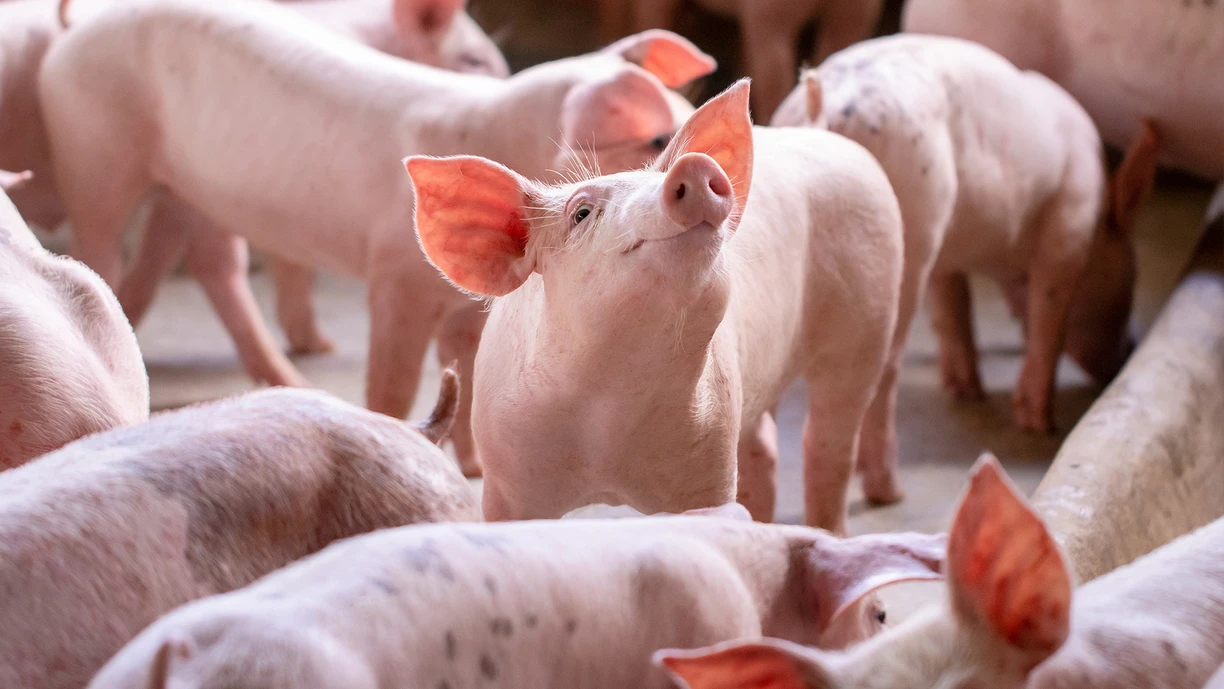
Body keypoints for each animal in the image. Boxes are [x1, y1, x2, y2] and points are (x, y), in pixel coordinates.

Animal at [39, 0, 714, 477]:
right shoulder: (397, 276)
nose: (707, 169)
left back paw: (294, 374)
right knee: (103, 242)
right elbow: (394, 376)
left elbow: (469, 368)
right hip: (91, 146)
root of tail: (79, 27)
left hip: (190, 189)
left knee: (211, 263)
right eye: (656, 137)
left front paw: (474, 468)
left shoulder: (469, 302)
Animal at [408, 81, 903, 531]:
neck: (607, 416)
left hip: (869, 317)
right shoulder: (506, 480)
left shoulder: (711, 456)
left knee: (829, 445)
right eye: (581, 214)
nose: (694, 165)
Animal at [770, 36, 1159, 503]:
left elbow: (954, 307)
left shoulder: (948, 256)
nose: (1130, 348)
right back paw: (890, 491)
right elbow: (1048, 319)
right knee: (886, 369)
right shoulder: (1068, 229)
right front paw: (1040, 423)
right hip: (912, 229)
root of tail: (823, 107)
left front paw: (966, 391)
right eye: (1130, 282)